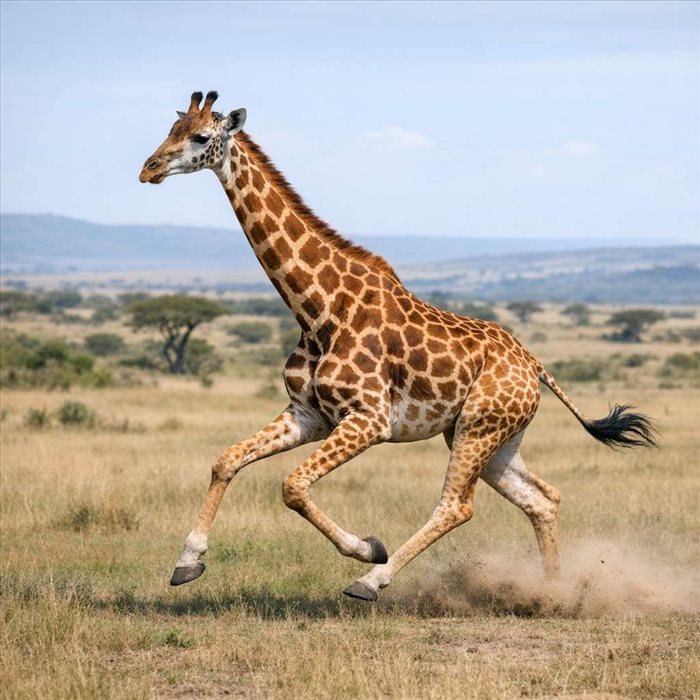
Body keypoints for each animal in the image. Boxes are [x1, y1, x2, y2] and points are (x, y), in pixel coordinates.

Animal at [139, 92, 656, 601]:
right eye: (171, 129)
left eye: (201, 136)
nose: (149, 169)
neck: (317, 310)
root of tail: (533, 364)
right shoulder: (308, 414)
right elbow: (226, 460)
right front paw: (188, 561)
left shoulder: (369, 419)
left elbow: (293, 486)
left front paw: (368, 548)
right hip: (492, 436)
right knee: (542, 498)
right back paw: (552, 595)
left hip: (478, 427)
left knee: (457, 506)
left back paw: (373, 581)